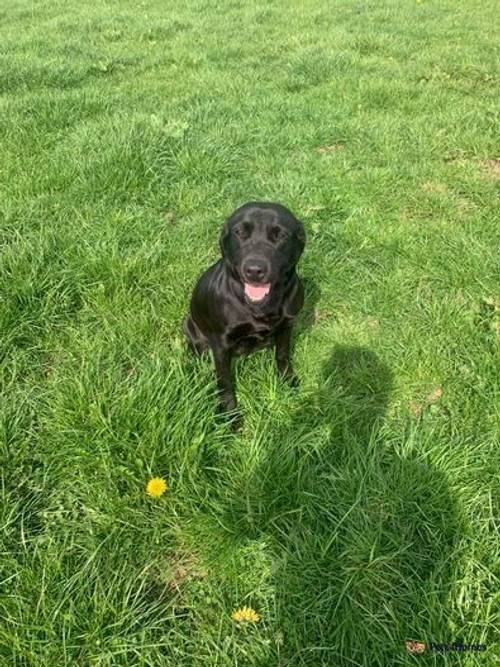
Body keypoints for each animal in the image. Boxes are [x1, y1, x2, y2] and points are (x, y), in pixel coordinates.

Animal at [184, 201, 304, 426]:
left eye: (280, 235)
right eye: (239, 232)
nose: (254, 270)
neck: (259, 307)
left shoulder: (287, 325)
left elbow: (283, 355)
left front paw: (287, 380)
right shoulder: (221, 345)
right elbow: (225, 383)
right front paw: (230, 416)